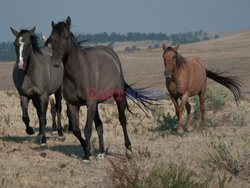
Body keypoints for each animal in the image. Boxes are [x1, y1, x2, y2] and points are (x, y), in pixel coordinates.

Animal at [46, 16, 153, 163]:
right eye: (51, 38)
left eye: (65, 36)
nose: (55, 62)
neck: (78, 73)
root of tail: (112, 54)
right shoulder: (73, 105)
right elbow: (76, 130)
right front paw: (88, 149)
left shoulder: (90, 103)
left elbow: (87, 129)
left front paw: (86, 156)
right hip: (95, 105)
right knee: (100, 125)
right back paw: (101, 152)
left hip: (118, 96)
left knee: (122, 120)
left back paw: (128, 150)